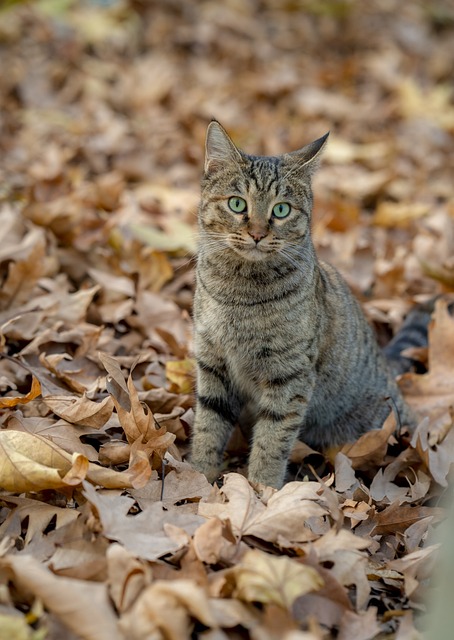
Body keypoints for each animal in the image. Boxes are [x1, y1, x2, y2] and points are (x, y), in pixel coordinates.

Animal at [189, 121, 414, 490]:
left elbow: (272, 439)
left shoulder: (289, 374)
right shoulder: (212, 362)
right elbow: (208, 426)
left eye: (281, 209)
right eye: (237, 204)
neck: (239, 293)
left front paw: (262, 491)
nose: (257, 233)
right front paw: (198, 477)